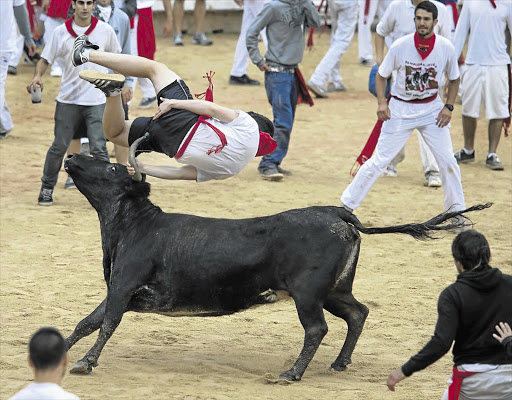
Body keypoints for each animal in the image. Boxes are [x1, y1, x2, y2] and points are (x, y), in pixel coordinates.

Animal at [62, 154, 490, 382]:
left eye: (110, 168)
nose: (71, 157)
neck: (134, 224)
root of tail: (337, 214)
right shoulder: (120, 291)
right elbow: (87, 322)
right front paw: (60, 351)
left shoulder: (123, 287)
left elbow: (106, 323)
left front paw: (84, 363)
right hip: (334, 290)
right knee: (357, 312)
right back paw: (339, 363)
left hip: (307, 294)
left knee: (317, 328)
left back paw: (292, 374)